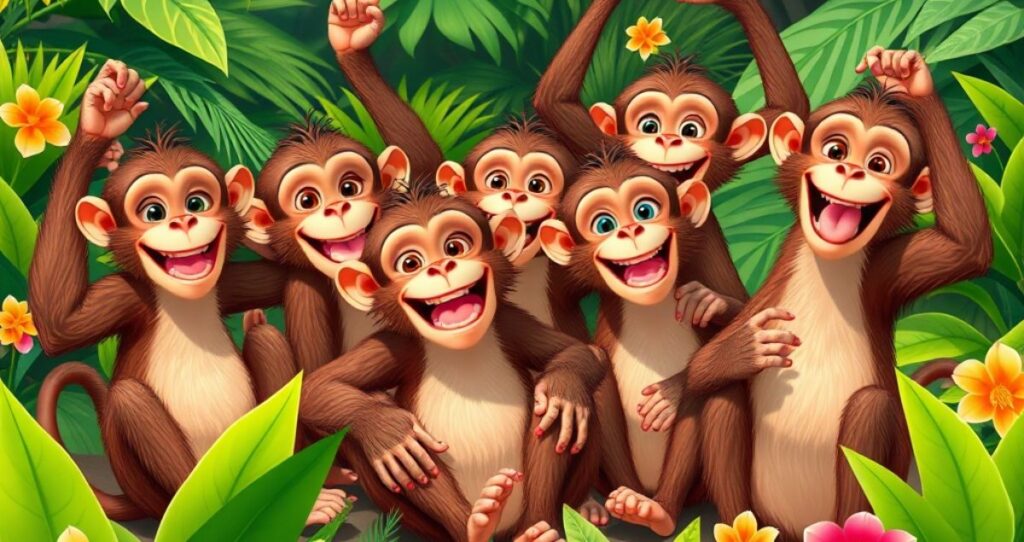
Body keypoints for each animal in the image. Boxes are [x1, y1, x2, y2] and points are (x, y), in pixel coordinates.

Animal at [29, 61, 348, 524]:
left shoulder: (225, 285)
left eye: (196, 202)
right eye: (154, 211)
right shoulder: (127, 296)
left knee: (267, 340)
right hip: (152, 488)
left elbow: (288, 277)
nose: (182, 222)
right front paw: (97, 124)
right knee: (128, 400)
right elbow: (59, 327)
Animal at [299, 181, 607, 541]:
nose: (441, 267)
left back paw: (540, 526)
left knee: (564, 402)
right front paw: (389, 431)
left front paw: (563, 388)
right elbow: (317, 387)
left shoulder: (510, 323)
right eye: (410, 263)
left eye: (455, 246)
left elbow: (575, 354)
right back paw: (478, 523)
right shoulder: (397, 346)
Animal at [630, 49, 992, 540]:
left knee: (872, 408)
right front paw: (734, 347)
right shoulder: (774, 285)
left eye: (879, 164)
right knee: (723, 396)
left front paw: (913, 80)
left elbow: (966, 247)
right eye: (835, 150)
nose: (850, 170)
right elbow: (717, 360)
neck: (826, 262)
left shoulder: (890, 269)